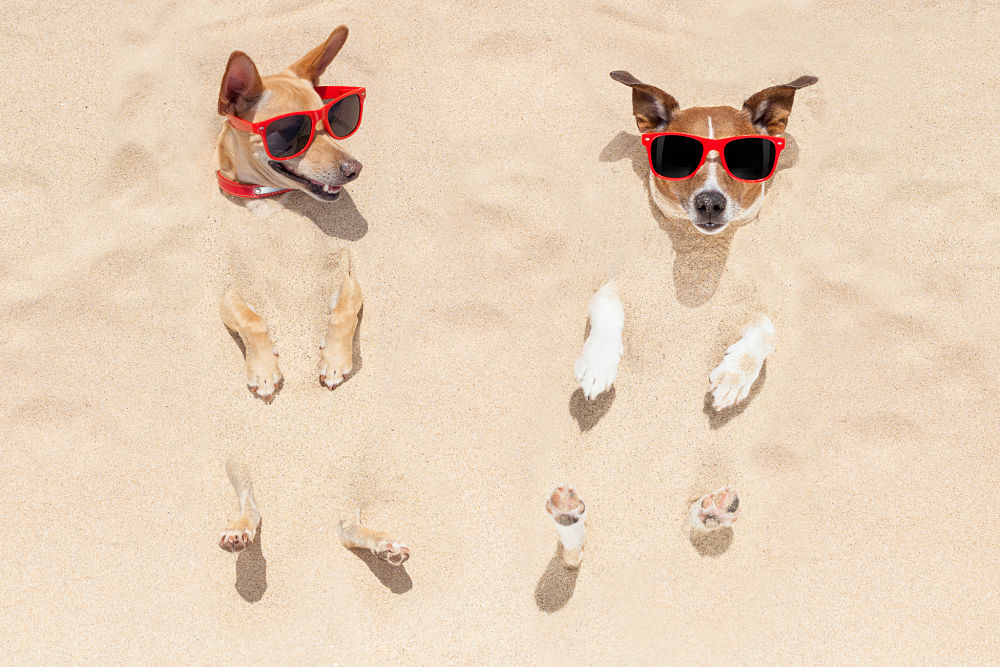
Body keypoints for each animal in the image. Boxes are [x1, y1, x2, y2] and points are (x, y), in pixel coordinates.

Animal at [576, 70, 816, 410]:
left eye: (744, 158)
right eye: (678, 155)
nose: (710, 202)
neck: (697, 255)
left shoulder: (746, 303)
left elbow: (767, 329)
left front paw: (733, 376)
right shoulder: (619, 280)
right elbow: (607, 307)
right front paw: (598, 364)